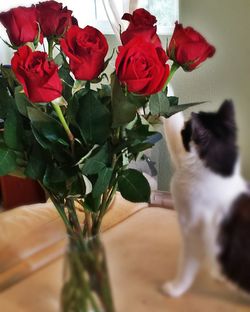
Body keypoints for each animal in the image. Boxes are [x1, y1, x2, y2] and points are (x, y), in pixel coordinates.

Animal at [160, 100, 250, 298]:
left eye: (186, 129)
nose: (188, 119)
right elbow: (172, 120)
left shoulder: (193, 234)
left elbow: (186, 267)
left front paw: (175, 289)